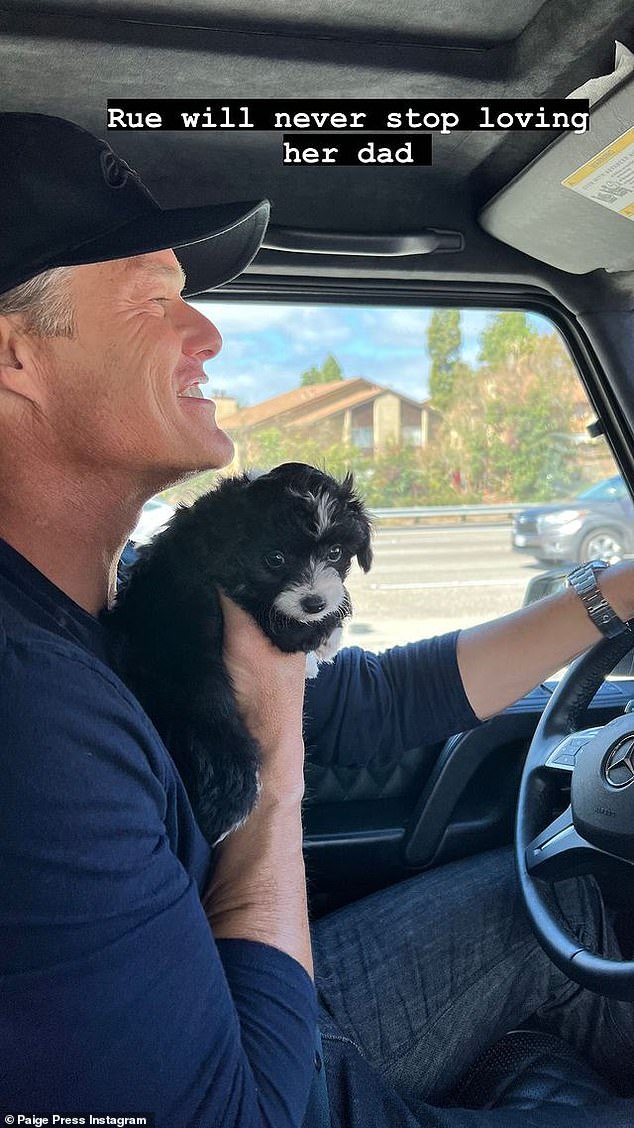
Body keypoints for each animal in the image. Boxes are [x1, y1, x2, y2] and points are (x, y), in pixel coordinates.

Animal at [99, 462, 370, 848]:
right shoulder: (238, 592)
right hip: (206, 711)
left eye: (335, 553)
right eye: (275, 559)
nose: (314, 602)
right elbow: (282, 625)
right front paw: (324, 637)